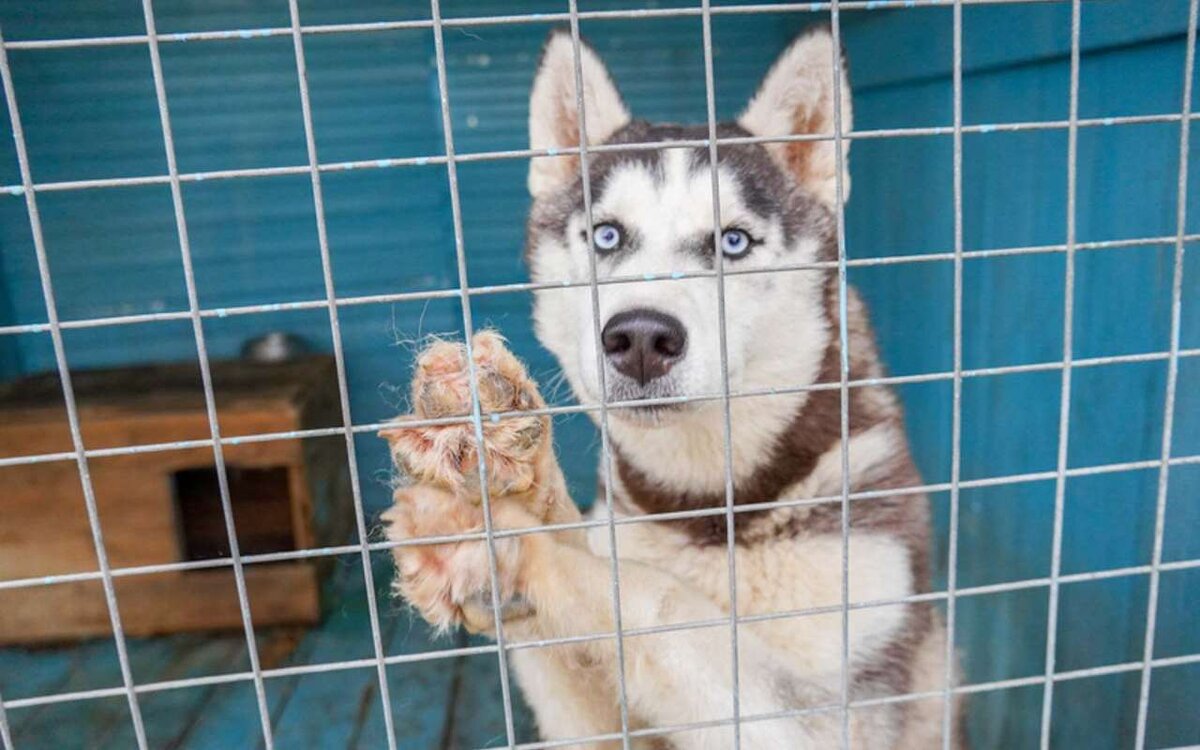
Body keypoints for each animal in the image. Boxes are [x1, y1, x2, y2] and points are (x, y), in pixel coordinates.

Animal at [384, 26, 964, 744]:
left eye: (734, 242)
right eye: (607, 235)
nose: (640, 338)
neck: (705, 507)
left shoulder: (834, 709)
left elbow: (655, 599)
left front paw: (511, 544)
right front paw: (505, 463)